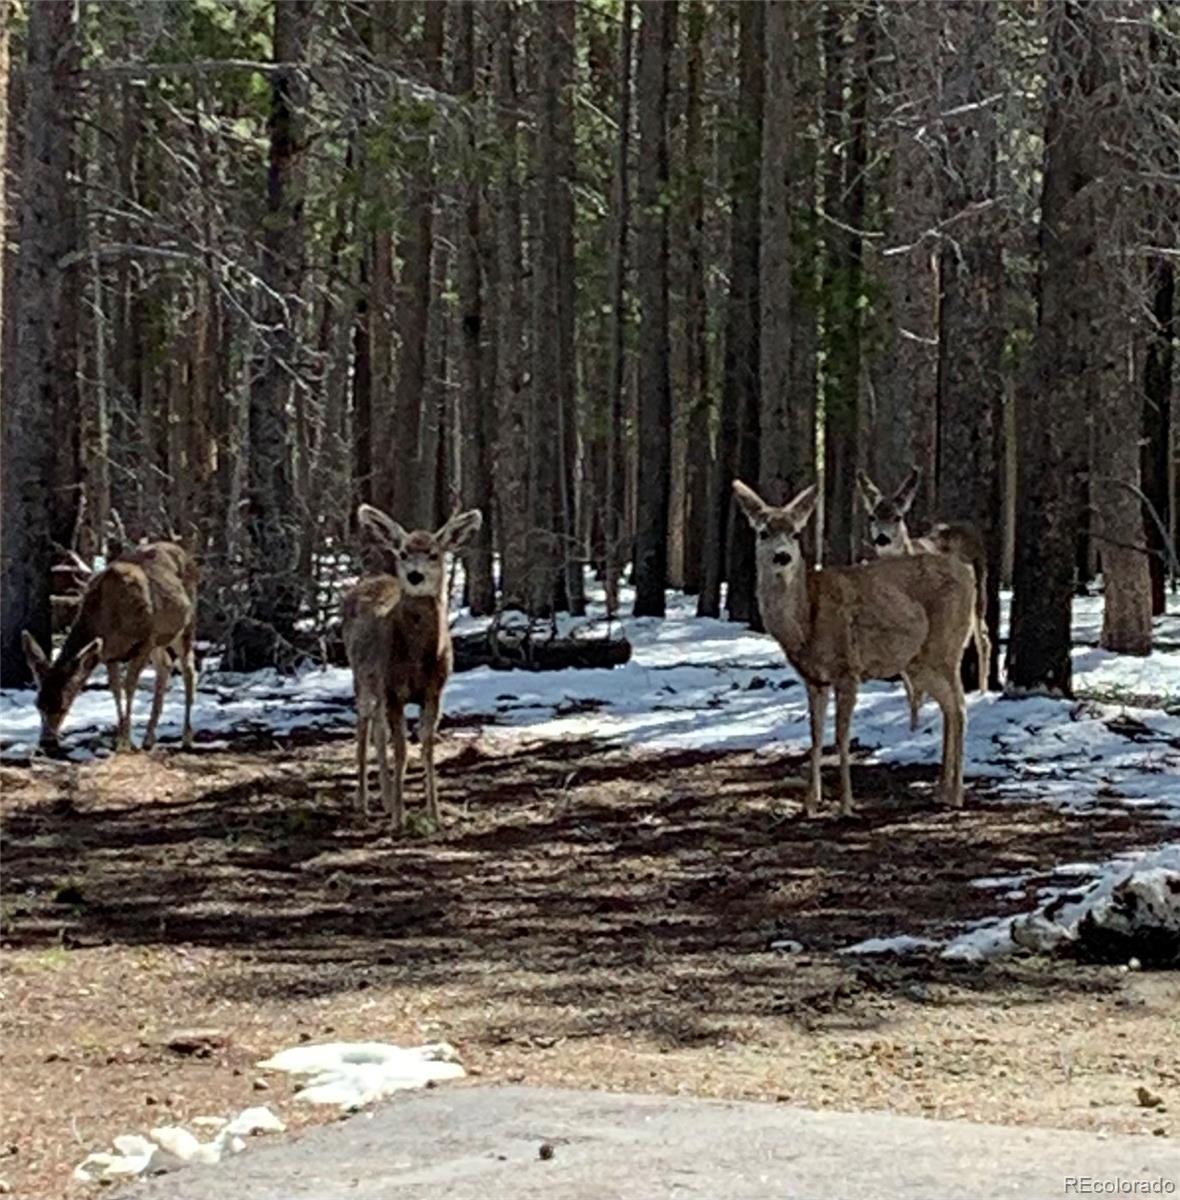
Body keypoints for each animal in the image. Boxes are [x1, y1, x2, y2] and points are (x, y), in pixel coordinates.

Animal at [21, 542, 198, 748]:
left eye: (64, 705)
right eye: (37, 704)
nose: (45, 741)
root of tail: (181, 550)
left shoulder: (145, 640)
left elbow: (129, 687)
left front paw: (126, 740)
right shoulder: (109, 653)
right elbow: (115, 689)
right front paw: (119, 737)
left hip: (186, 624)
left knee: (188, 670)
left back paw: (186, 736)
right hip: (161, 639)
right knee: (166, 665)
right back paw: (149, 738)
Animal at [340, 501, 484, 830]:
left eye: (434, 553)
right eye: (404, 553)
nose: (415, 576)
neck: (419, 660)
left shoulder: (434, 691)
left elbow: (427, 747)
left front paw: (436, 814)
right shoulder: (394, 689)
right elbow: (402, 751)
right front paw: (400, 819)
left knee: (378, 730)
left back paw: (384, 799)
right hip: (360, 676)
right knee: (363, 726)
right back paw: (363, 802)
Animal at [734, 477, 974, 816]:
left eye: (795, 533)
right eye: (763, 532)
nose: (782, 556)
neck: (806, 622)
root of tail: (969, 573)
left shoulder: (848, 670)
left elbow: (841, 735)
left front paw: (846, 804)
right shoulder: (814, 679)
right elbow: (816, 735)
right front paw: (810, 803)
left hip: (946, 647)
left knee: (961, 708)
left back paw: (956, 795)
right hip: (919, 661)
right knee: (950, 708)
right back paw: (942, 791)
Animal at [854, 465, 993, 729]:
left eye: (897, 517)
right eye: (872, 517)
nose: (882, 538)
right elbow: (909, 682)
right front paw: (913, 725)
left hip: (980, 589)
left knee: (982, 637)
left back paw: (982, 692)